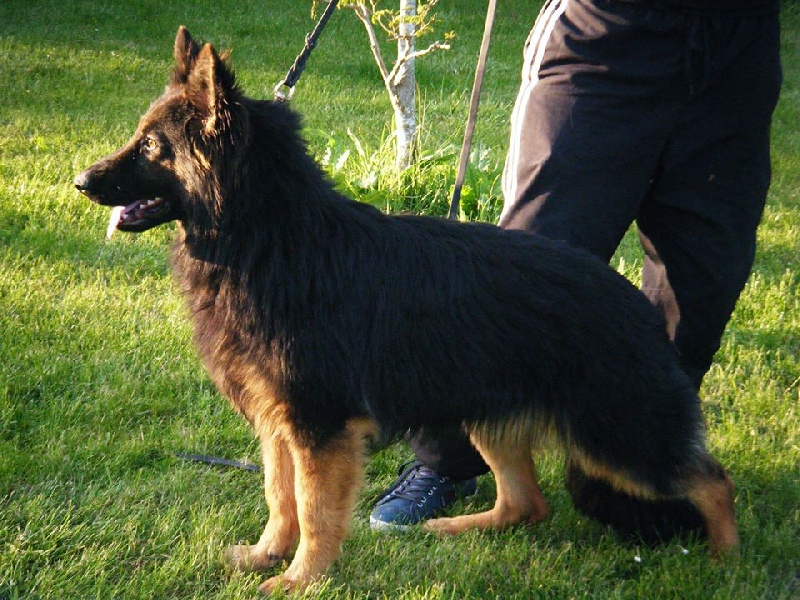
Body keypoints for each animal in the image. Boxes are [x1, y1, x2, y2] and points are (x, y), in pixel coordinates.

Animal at [74, 27, 738, 593]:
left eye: (153, 145)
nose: (81, 181)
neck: (268, 236)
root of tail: (636, 307)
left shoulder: (320, 426)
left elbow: (314, 510)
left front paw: (300, 578)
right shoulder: (278, 421)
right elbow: (278, 496)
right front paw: (267, 555)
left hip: (619, 436)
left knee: (713, 482)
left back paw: (724, 563)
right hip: (493, 416)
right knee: (528, 504)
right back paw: (453, 529)